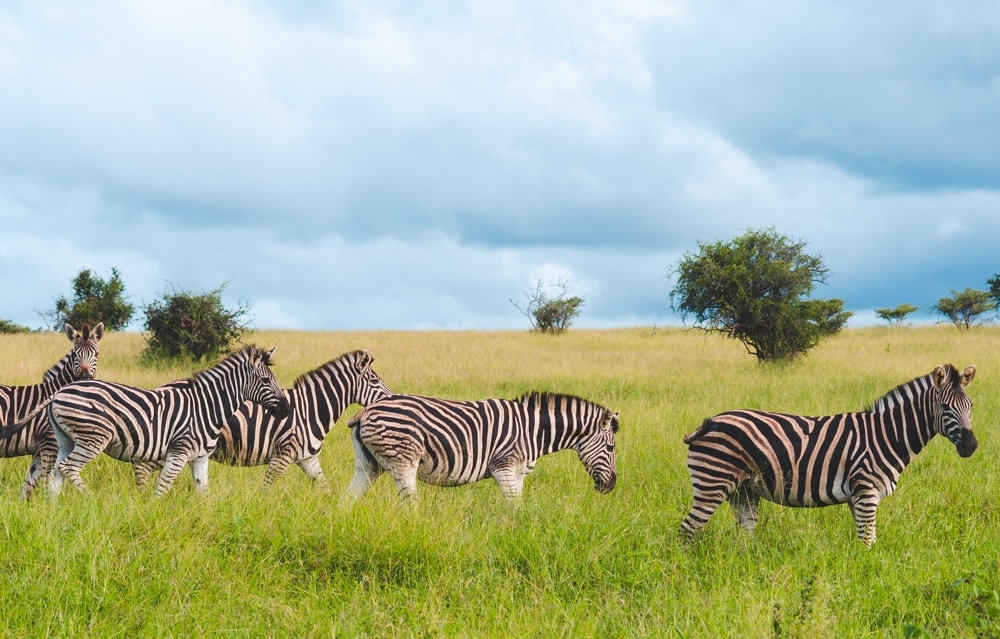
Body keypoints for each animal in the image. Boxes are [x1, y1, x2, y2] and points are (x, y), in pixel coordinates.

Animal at [0, 324, 103, 500]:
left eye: (96, 354)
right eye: (75, 354)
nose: (84, 376)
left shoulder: (40, 449)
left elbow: (29, 484)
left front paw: (23, 507)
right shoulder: (49, 443)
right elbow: (48, 481)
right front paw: (49, 505)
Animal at [10, 342, 290, 498]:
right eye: (265, 381)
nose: (287, 409)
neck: (208, 407)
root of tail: (59, 391)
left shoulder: (200, 458)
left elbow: (202, 494)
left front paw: (202, 522)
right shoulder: (178, 452)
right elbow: (162, 489)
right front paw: (153, 514)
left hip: (65, 439)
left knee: (56, 473)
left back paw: (54, 510)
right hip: (94, 437)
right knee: (69, 468)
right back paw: (92, 500)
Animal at [132, 350, 394, 490]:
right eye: (374, 381)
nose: (392, 398)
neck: (310, 409)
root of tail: (162, 387)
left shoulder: (308, 459)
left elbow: (325, 488)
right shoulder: (282, 455)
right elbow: (266, 489)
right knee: (141, 466)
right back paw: (143, 499)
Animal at [344, 392, 616, 502]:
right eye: (611, 449)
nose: (610, 486)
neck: (533, 431)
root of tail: (368, 409)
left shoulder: (519, 473)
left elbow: (517, 506)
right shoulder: (503, 467)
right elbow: (514, 505)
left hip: (369, 465)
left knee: (348, 499)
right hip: (402, 461)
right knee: (409, 505)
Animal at [680, 362, 976, 548]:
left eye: (971, 406)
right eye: (945, 407)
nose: (971, 446)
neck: (887, 434)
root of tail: (708, 422)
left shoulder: (857, 496)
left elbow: (865, 539)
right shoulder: (866, 492)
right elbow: (868, 542)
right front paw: (867, 577)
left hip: (744, 491)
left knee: (745, 536)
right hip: (712, 484)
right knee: (686, 530)